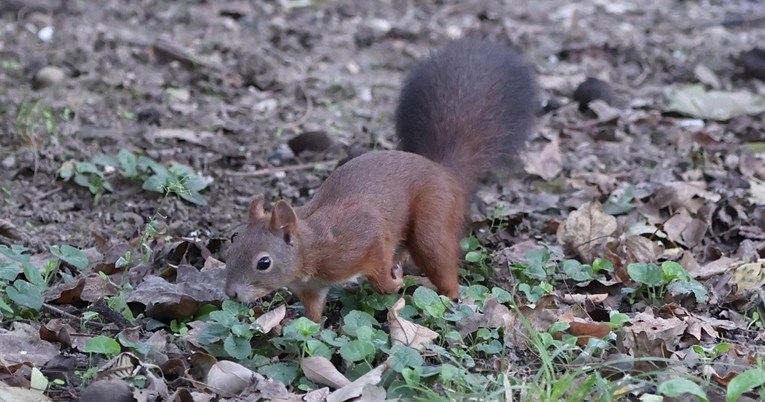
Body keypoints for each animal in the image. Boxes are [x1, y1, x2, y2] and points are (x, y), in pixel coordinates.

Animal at [224, 36, 536, 322]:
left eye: (264, 262)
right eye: (233, 242)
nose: (231, 294)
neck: (311, 248)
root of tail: (446, 173)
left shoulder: (364, 238)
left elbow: (381, 276)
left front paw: (394, 281)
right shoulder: (312, 288)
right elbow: (312, 316)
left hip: (433, 215)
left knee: (438, 258)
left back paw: (445, 296)